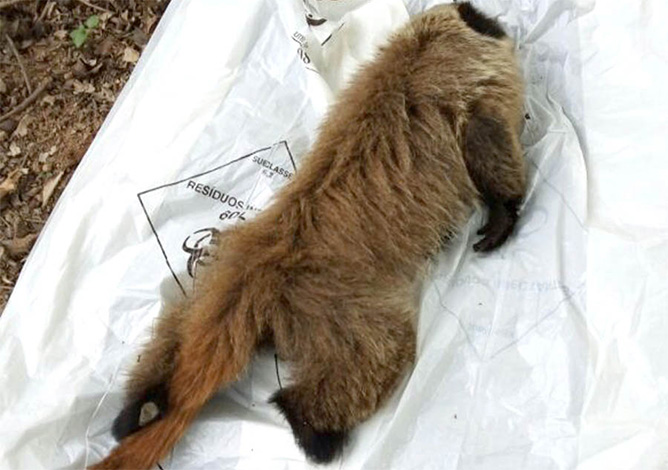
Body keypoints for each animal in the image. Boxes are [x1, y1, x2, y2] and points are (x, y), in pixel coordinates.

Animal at [90, 3, 525, 468]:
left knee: (172, 338)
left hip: (211, 284)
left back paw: (143, 407)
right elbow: (491, 148)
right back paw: (311, 428)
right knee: (372, 357)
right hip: (336, 307)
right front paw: (504, 214)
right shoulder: (471, 94)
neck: (421, 50)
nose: (493, 19)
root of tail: (262, 268)